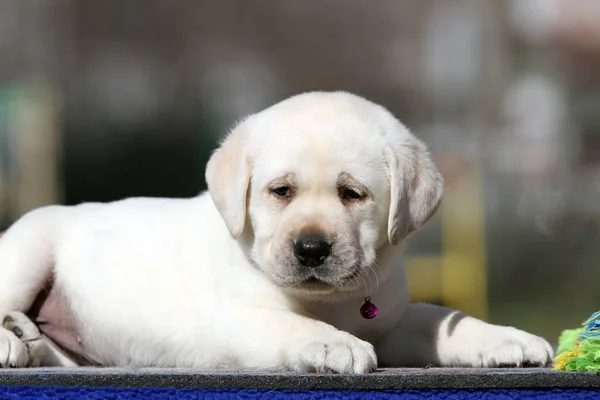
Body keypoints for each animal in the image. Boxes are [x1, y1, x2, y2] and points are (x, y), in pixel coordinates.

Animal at [0, 92, 552, 370]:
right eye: (280, 191)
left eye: (353, 194)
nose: (310, 249)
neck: (332, 301)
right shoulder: (235, 319)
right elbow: (293, 325)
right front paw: (335, 346)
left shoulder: (391, 320)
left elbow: (441, 318)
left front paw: (509, 340)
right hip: (29, 249)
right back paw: (11, 339)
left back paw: (27, 338)